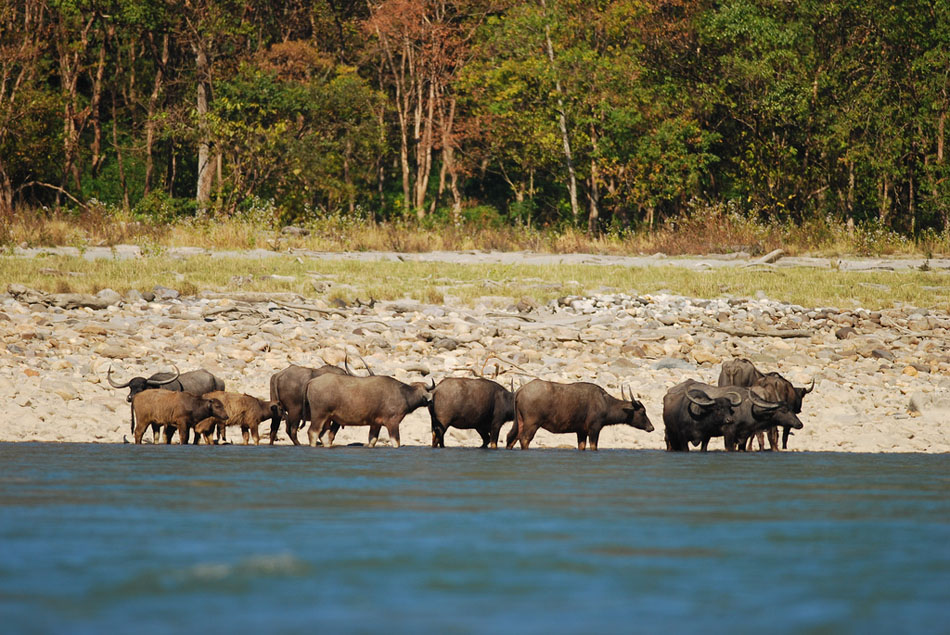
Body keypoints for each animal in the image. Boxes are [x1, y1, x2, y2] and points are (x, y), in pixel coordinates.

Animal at [304, 376, 436, 450]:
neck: (404, 395)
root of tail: (311, 381)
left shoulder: (375, 424)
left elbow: (372, 439)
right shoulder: (392, 422)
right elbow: (396, 441)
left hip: (328, 418)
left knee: (324, 435)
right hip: (319, 415)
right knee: (313, 432)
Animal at [506, 380, 656, 450]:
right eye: (642, 412)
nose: (651, 427)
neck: (605, 403)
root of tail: (520, 390)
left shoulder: (581, 431)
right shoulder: (594, 429)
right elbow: (594, 446)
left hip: (520, 422)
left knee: (511, 438)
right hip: (532, 423)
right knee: (524, 439)